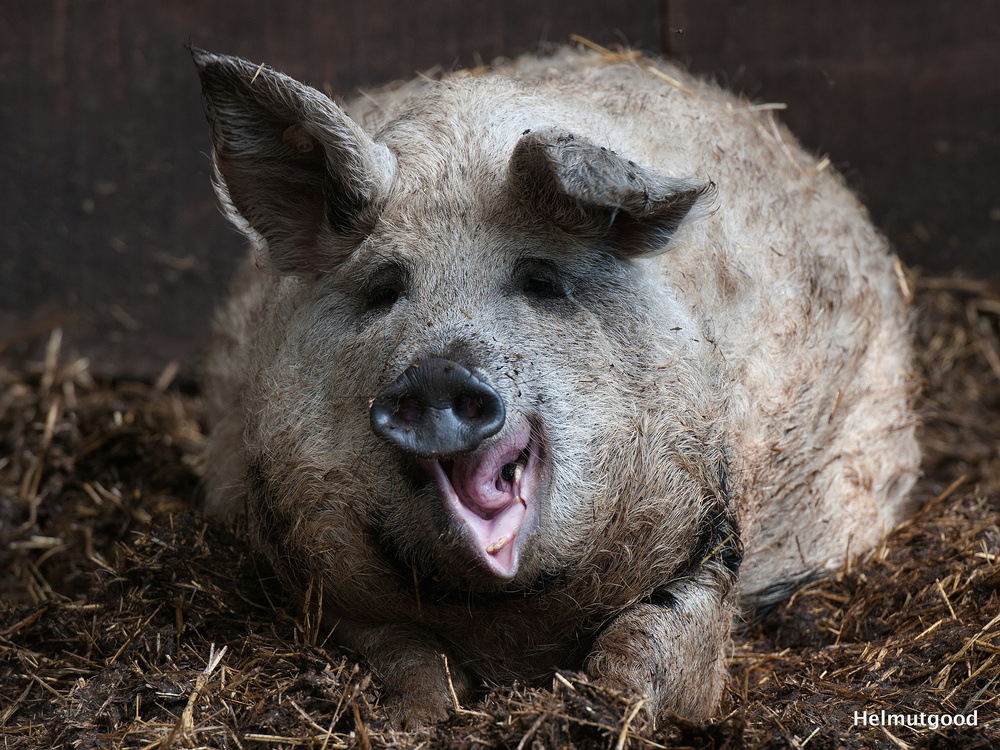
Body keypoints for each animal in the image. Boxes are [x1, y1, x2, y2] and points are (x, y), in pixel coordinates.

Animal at [193, 44, 920, 724]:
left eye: (540, 281)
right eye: (384, 290)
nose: (438, 371)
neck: (510, 629)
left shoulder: (709, 533)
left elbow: (660, 644)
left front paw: (608, 707)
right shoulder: (314, 569)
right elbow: (402, 654)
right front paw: (419, 716)